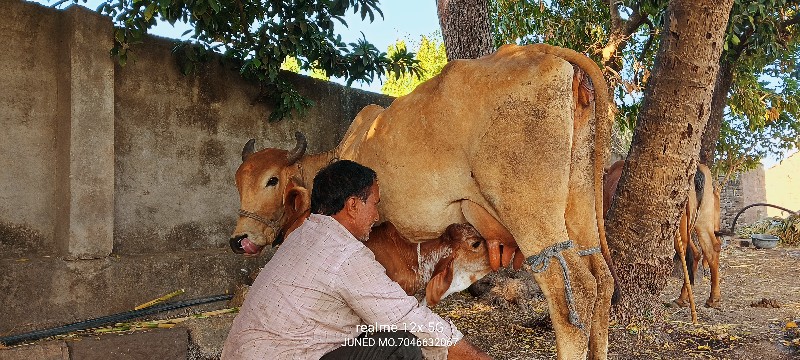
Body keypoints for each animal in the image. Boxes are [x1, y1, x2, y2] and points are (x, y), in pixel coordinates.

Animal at [600, 159, 724, 316]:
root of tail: (697, 174)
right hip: (703, 221)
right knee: (708, 251)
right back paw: (711, 298)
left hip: (679, 229)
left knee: (689, 255)